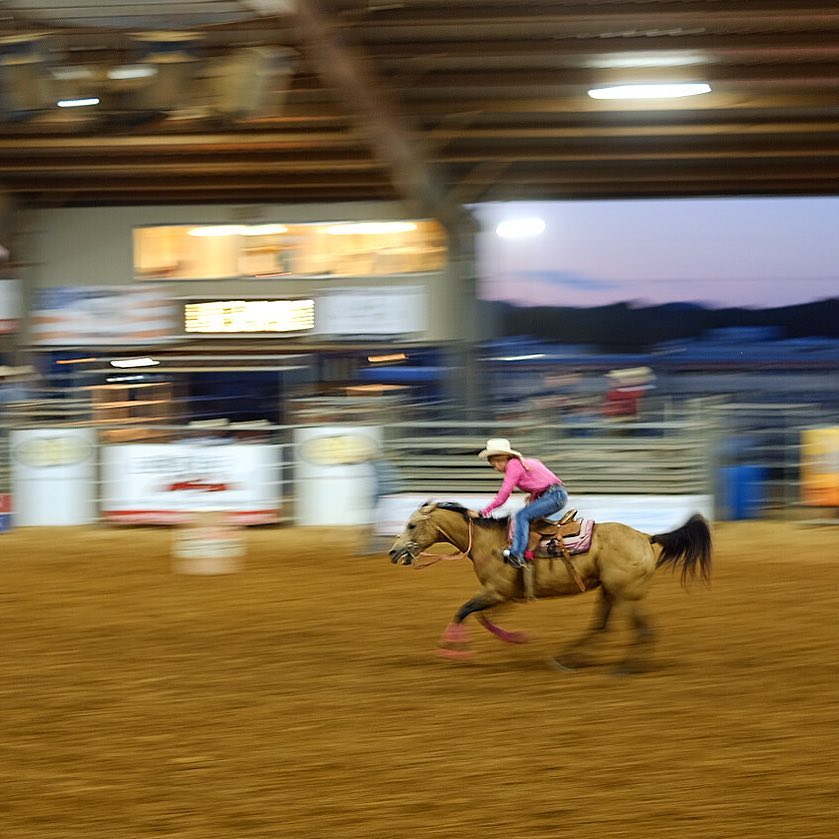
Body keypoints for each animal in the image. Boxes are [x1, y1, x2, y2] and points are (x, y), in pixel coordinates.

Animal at [388, 501, 712, 674]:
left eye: (412, 525)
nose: (393, 552)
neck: (488, 543)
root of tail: (646, 537)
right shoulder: (504, 596)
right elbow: (480, 616)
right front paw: (513, 637)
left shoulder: (496, 592)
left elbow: (463, 611)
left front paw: (452, 651)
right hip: (610, 591)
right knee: (602, 627)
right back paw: (565, 659)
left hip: (625, 595)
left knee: (643, 630)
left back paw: (624, 668)